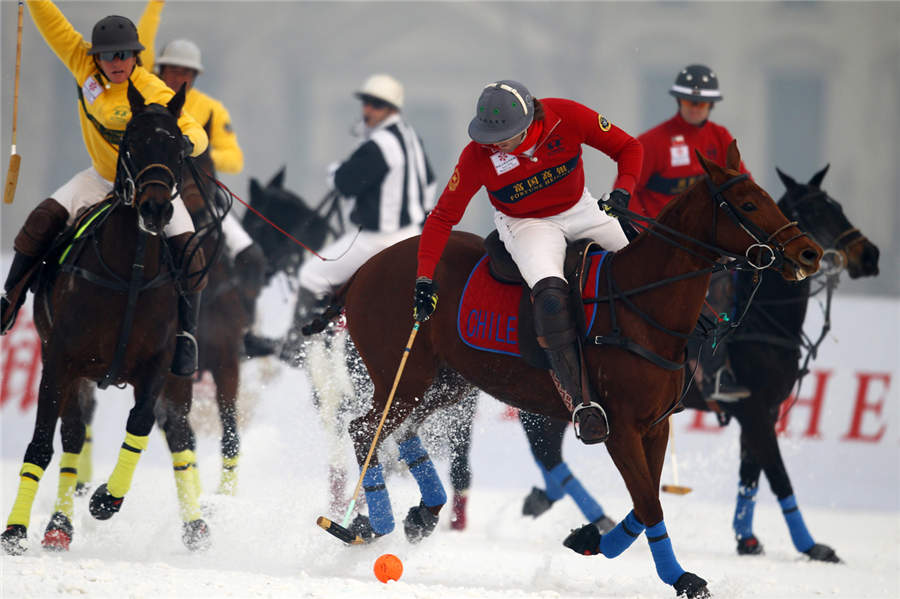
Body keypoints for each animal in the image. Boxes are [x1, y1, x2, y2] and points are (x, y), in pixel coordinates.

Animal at [2, 82, 209, 556]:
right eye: (130, 142)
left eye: (178, 147)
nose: (155, 209)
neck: (131, 270)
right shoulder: (59, 359)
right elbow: (42, 444)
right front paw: (15, 531)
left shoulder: (157, 365)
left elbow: (141, 424)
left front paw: (106, 500)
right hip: (72, 371)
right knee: (73, 436)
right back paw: (58, 526)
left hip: (179, 375)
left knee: (178, 432)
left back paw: (197, 528)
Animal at [330, 142, 824, 599]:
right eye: (747, 204)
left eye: (769, 196)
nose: (810, 252)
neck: (641, 305)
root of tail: (363, 270)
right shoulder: (619, 426)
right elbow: (650, 503)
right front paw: (682, 578)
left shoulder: (656, 425)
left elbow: (647, 499)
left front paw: (589, 538)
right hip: (405, 373)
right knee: (364, 428)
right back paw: (371, 522)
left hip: (446, 382)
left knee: (399, 429)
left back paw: (421, 512)